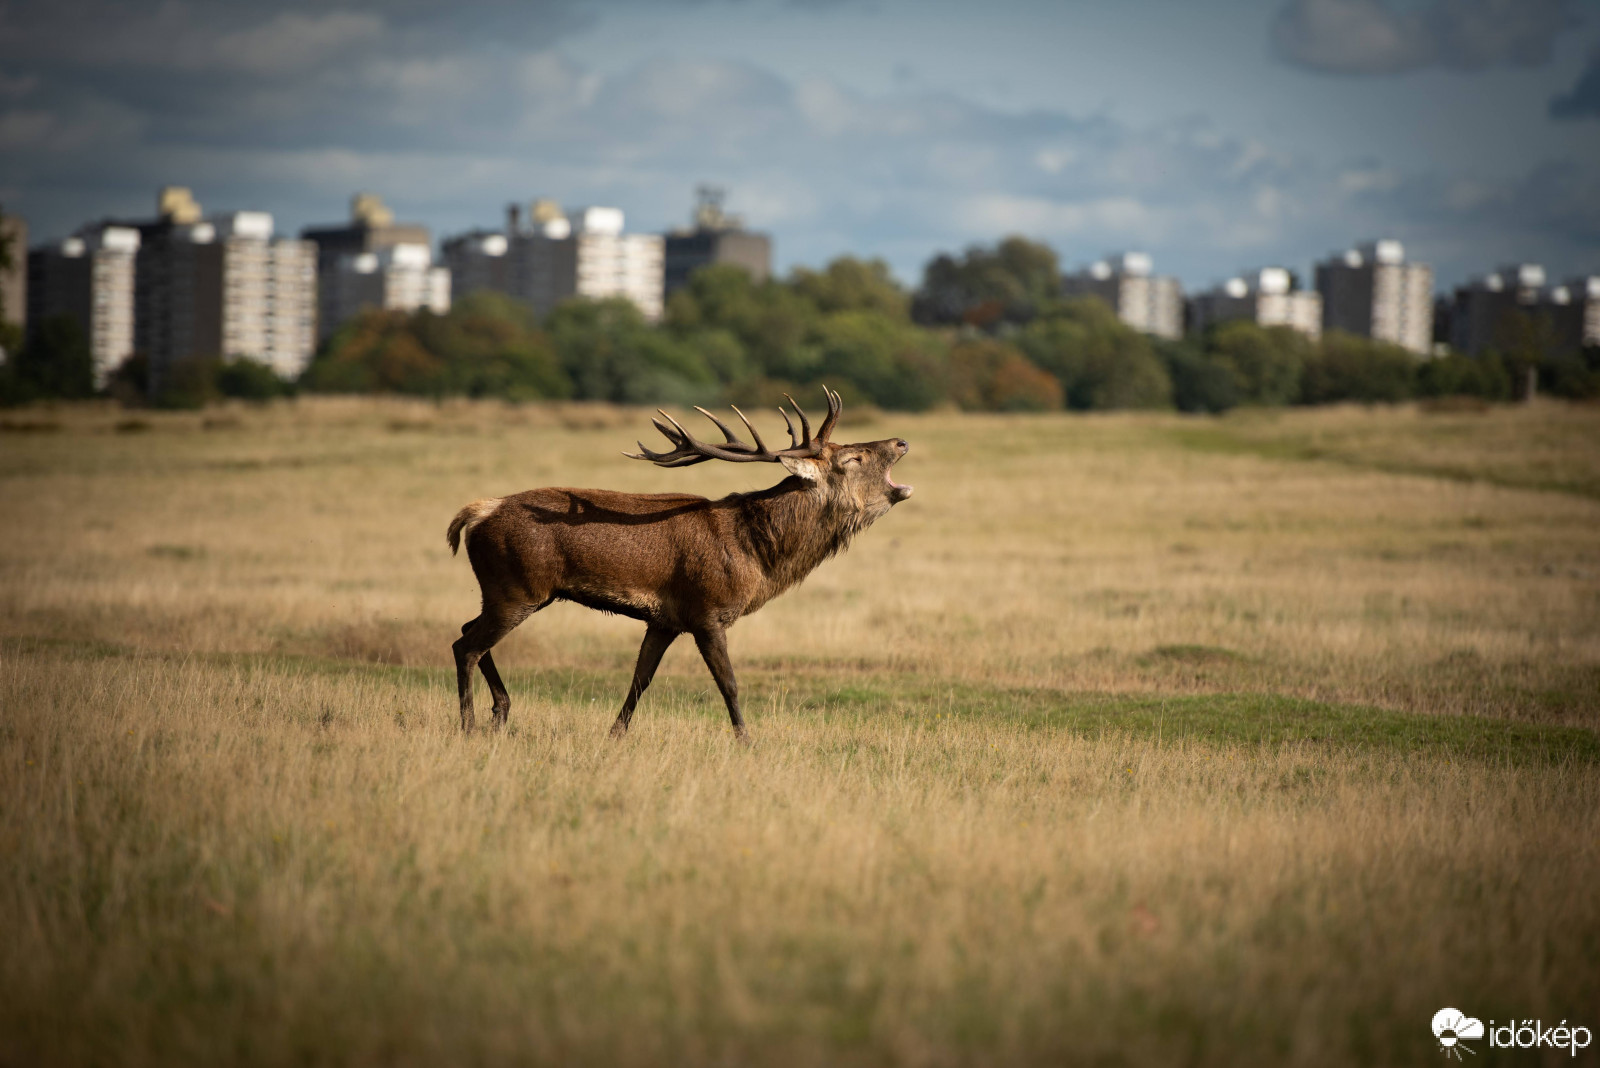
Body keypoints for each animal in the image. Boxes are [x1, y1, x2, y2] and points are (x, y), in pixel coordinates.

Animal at [448, 388, 915, 738]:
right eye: (852, 459)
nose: (900, 441)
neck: (757, 555)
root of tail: (477, 512)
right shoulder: (707, 611)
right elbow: (729, 684)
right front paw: (747, 741)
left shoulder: (665, 619)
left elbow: (640, 681)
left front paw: (615, 735)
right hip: (517, 587)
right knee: (466, 644)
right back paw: (468, 725)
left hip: (506, 590)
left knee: (467, 631)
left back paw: (501, 711)